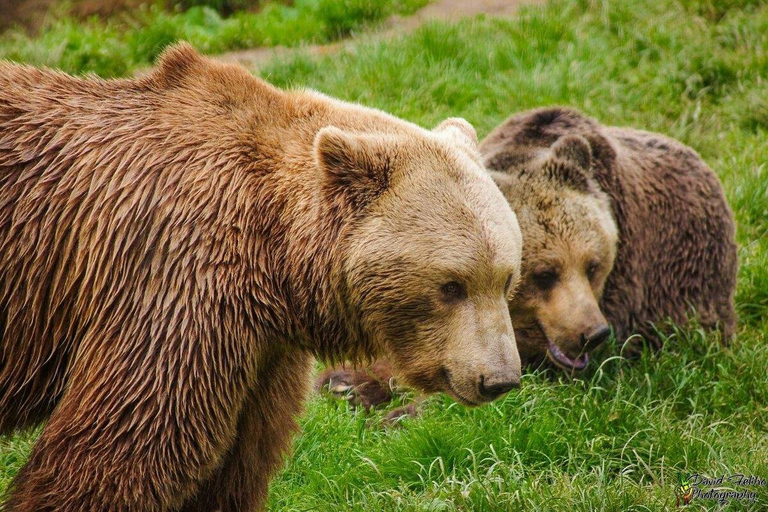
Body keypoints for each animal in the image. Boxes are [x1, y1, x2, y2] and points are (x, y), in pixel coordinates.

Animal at [0, 43, 524, 511]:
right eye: (451, 285)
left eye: (505, 278)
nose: (499, 379)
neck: (276, 255)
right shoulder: (175, 279)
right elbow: (125, 444)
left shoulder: (262, 351)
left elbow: (237, 463)